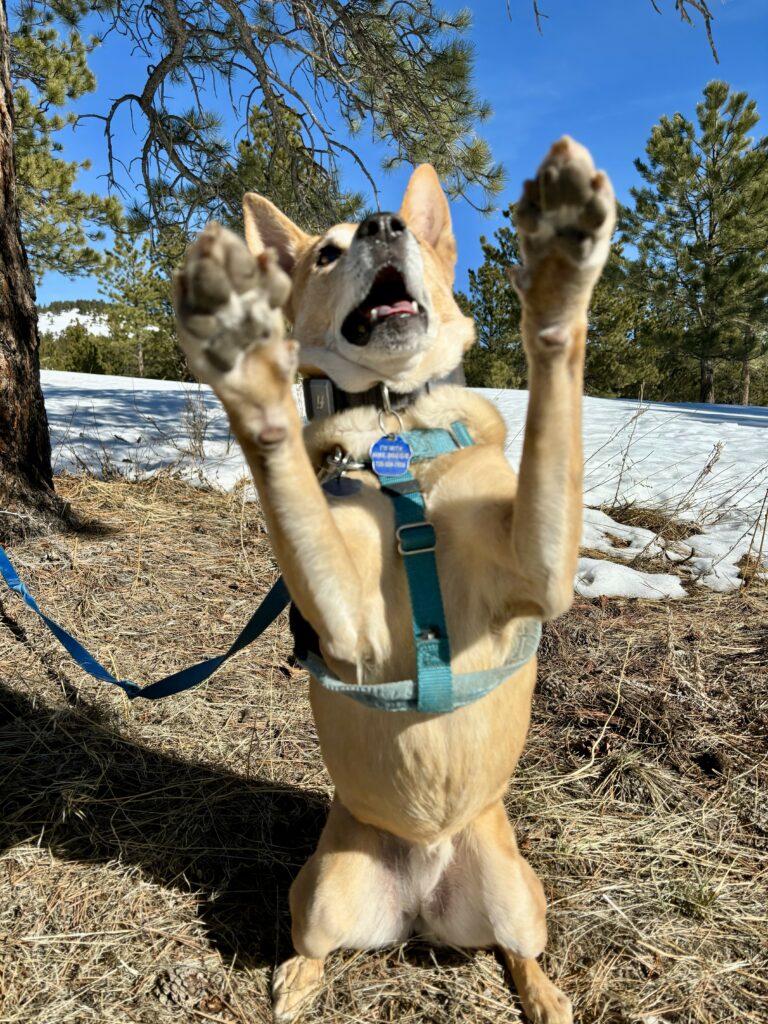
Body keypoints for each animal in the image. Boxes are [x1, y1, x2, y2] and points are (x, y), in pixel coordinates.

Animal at [173, 138, 614, 1024]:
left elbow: (556, 413)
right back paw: (296, 982)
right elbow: (290, 478)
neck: (395, 426)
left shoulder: (538, 572)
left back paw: (546, 995)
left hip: (518, 891)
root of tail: (421, 906)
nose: (384, 224)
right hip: (322, 888)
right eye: (325, 252)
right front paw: (247, 367)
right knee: (315, 943)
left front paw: (557, 278)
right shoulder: (346, 621)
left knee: (518, 953)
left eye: (399, 228)